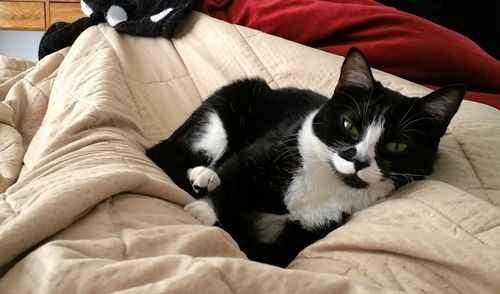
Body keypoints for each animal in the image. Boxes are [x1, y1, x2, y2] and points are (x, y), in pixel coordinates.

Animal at [146, 48, 464, 266]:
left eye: (398, 146)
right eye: (349, 125)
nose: (359, 161)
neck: (329, 180)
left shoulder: (321, 226)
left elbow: (272, 254)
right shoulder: (275, 145)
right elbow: (235, 173)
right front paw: (205, 211)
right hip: (231, 104)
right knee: (167, 154)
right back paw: (202, 175)